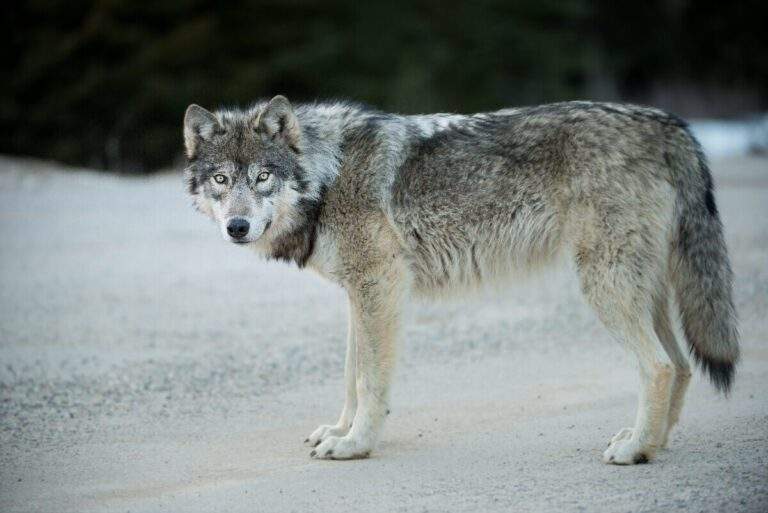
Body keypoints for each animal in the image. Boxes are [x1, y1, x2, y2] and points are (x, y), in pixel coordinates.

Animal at [183, 95, 740, 464]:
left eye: (262, 178)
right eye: (222, 180)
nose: (237, 227)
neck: (329, 173)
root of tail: (669, 123)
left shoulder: (379, 286)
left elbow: (368, 379)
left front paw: (356, 445)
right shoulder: (360, 295)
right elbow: (350, 375)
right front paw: (338, 432)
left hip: (605, 286)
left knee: (659, 366)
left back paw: (634, 451)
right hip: (639, 288)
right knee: (681, 364)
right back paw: (653, 445)